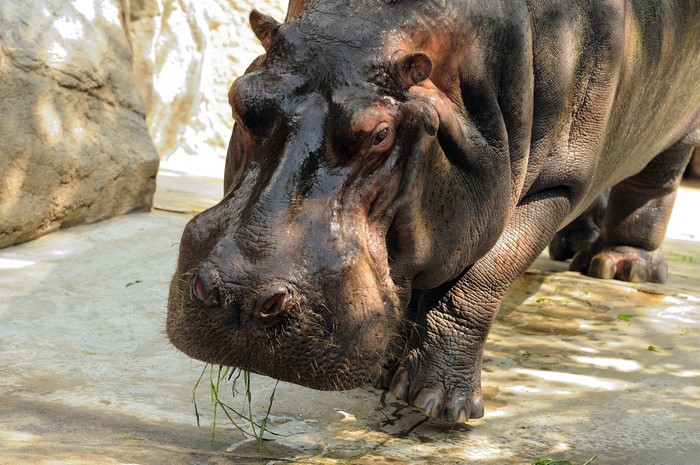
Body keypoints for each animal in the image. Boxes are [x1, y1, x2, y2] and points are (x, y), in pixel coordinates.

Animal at [167, 0, 700, 423]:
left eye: (381, 134)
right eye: (240, 99)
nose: (240, 298)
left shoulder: (556, 186)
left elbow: (482, 277)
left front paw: (438, 405)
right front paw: (388, 373)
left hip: (680, 128)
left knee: (656, 181)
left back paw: (621, 268)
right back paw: (575, 248)